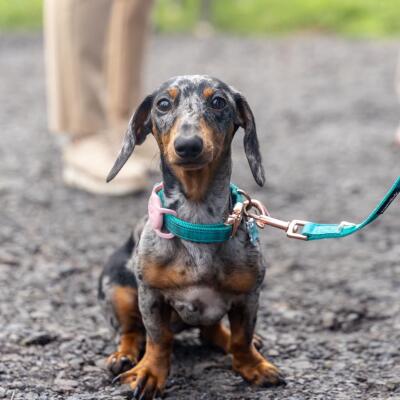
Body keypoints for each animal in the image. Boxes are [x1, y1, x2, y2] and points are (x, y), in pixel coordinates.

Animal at [98, 75, 285, 399]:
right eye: (163, 104)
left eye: (218, 101)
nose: (188, 145)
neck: (198, 222)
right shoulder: (151, 295)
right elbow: (158, 339)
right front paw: (149, 374)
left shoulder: (249, 295)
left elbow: (242, 338)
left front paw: (253, 366)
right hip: (117, 289)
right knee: (131, 330)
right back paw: (122, 356)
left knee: (211, 332)